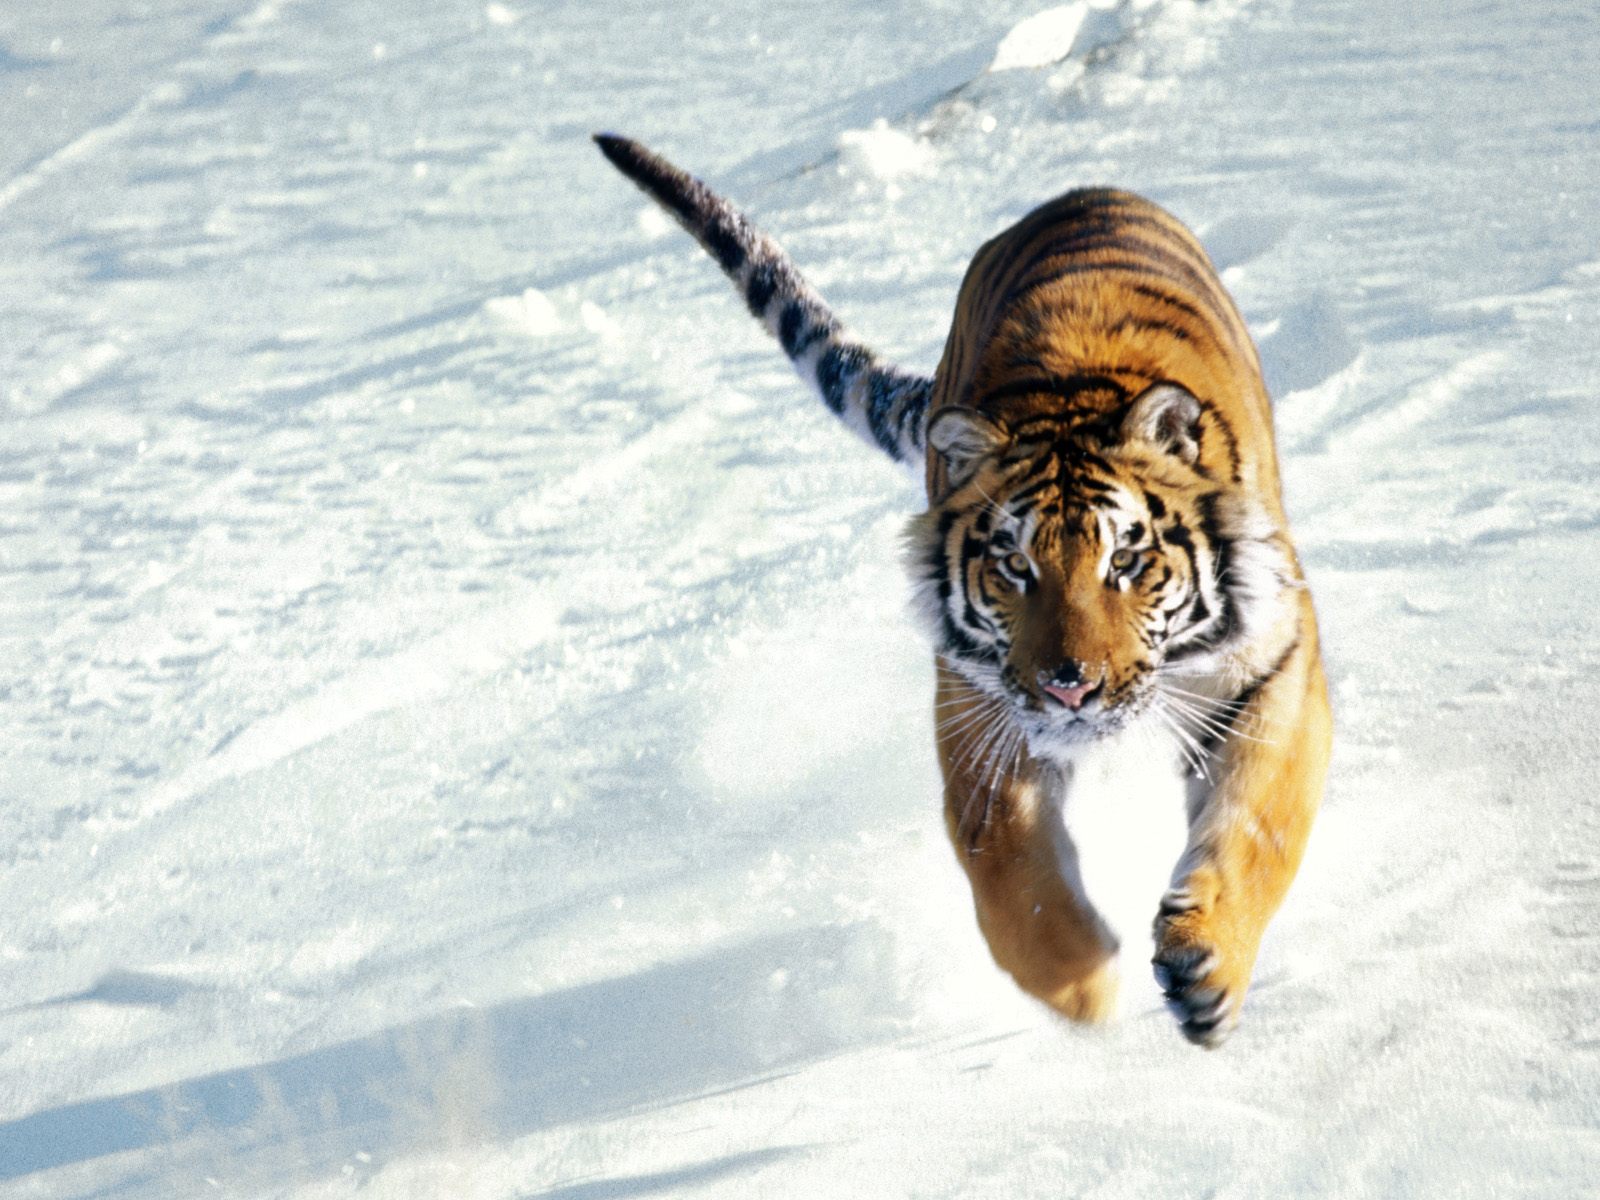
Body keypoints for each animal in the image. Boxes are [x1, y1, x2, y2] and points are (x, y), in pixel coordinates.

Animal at [595, 133, 1331, 1049]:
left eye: (1126, 561)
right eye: (1015, 566)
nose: (1070, 687)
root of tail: (1076, 193)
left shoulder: (1273, 666)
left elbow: (1260, 824)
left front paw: (1207, 970)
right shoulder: (979, 707)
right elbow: (1010, 872)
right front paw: (1081, 985)